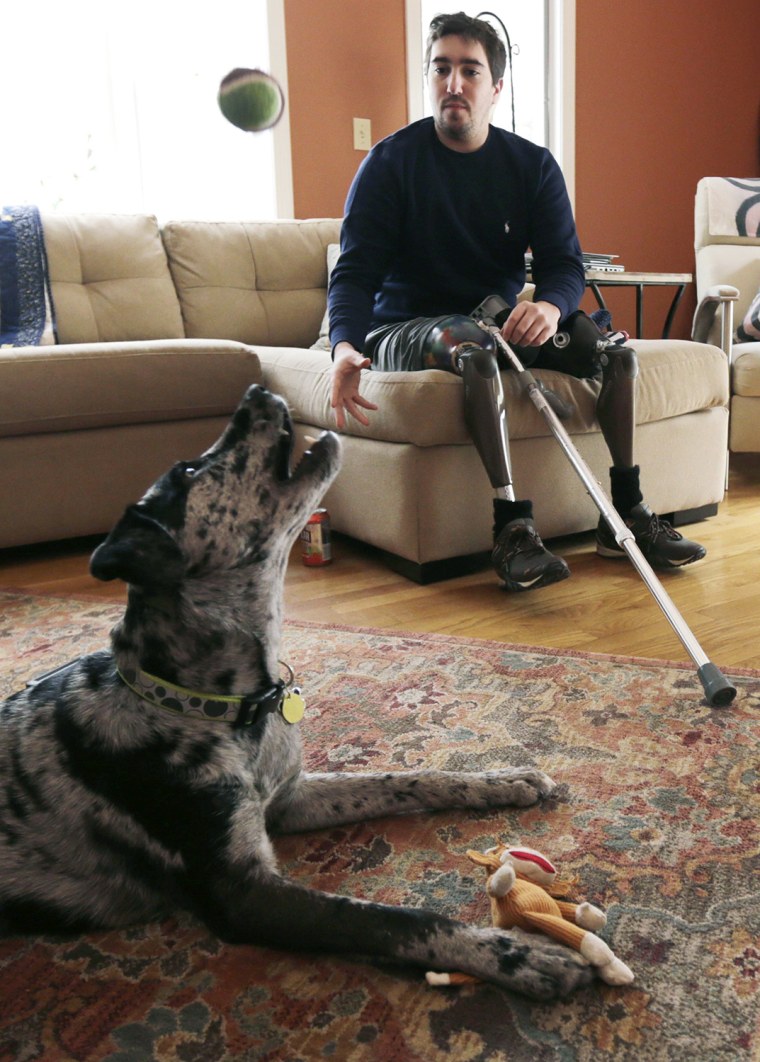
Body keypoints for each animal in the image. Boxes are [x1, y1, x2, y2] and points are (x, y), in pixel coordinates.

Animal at [1, 386, 598, 998]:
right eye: (189, 470)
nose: (258, 391)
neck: (217, 707)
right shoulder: (244, 894)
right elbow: (392, 919)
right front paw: (514, 953)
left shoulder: (289, 798)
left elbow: (404, 778)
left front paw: (500, 779)